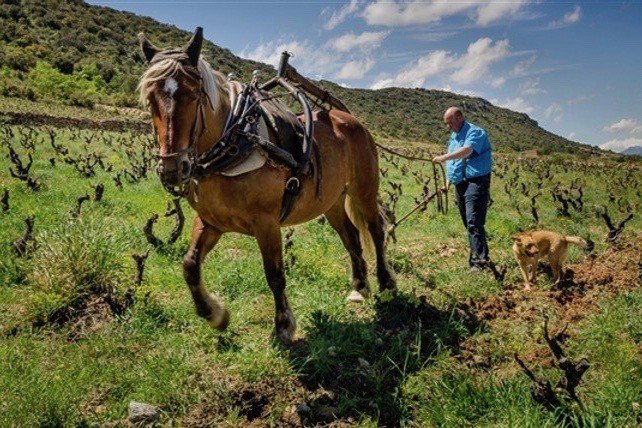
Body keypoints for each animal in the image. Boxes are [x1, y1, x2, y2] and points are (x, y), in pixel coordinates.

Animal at [138, 27, 392, 344]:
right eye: (150, 99)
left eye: (193, 94)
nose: (172, 168)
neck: (235, 140)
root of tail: (353, 121)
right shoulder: (211, 221)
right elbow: (190, 265)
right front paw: (214, 313)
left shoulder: (266, 223)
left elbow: (274, 274)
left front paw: (283, 324)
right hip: (332, 201)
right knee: (351, 236)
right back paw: (359, 286)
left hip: (364, 191)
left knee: (375, 229)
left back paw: (385, 282)